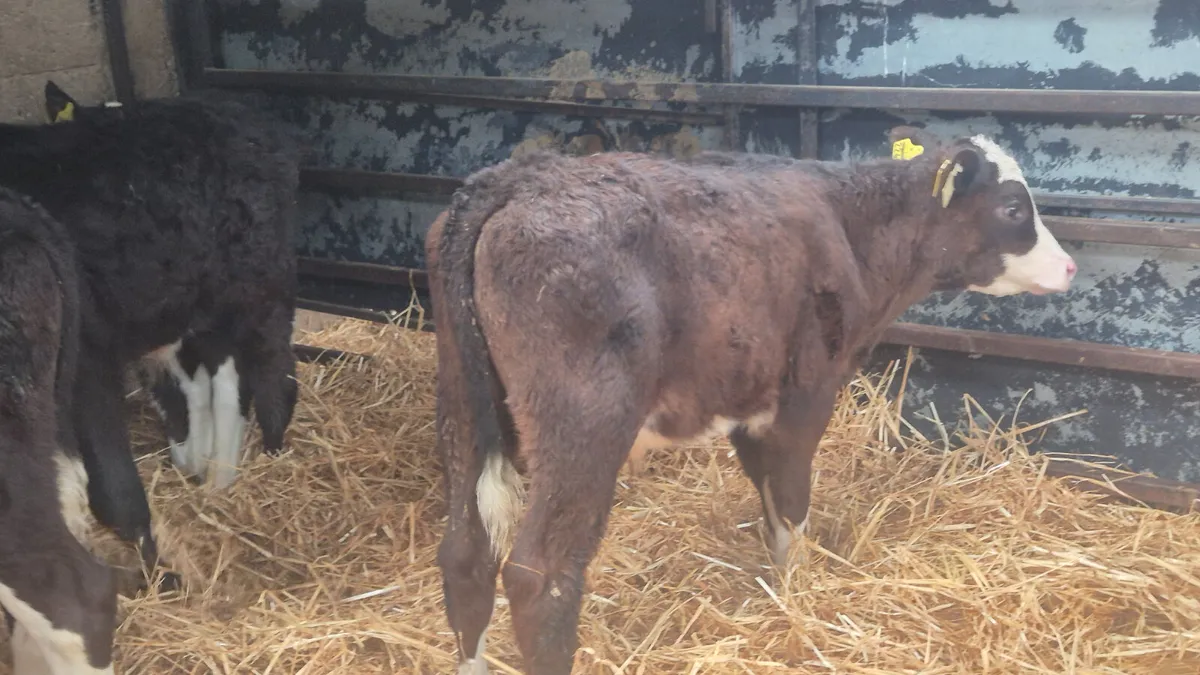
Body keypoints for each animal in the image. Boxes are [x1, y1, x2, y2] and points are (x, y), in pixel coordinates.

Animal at [0, 83, 303, 593]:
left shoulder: (87, 358)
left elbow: (112, 485)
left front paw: (157, 573)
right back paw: (205, 468)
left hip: (258, 285)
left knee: (267, 376)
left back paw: (261, 459)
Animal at [426, 127, 1077, 674]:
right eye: (1013, 208)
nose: (1071, 267)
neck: (852, 228)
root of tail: (520, 177)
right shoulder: (807, 393)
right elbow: (791, 499)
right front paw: (798, 591)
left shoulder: (748, 405)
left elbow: (768, 501)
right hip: (581, 422)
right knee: (540, 575)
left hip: (462, 406)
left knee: (465, 556)